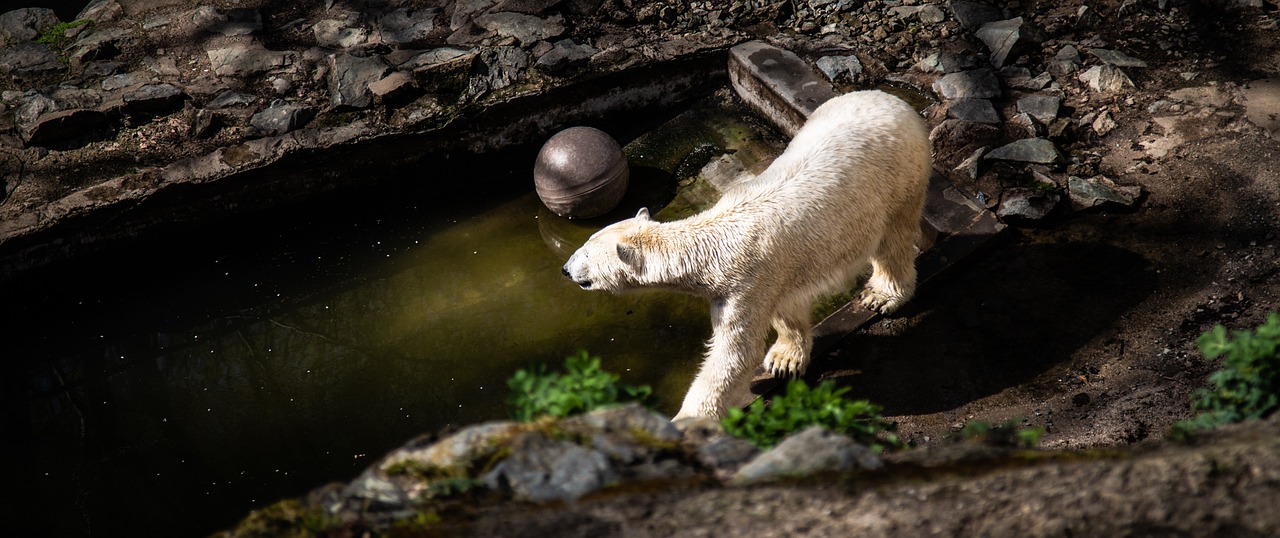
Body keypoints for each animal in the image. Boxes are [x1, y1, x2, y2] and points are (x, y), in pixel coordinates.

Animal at [560, 90, 931, 420]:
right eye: (586, 244)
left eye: (587, 254)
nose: (565, 269)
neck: (715, 243)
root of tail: (893, 101)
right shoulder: (776, 275)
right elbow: (786, 309)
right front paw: (785, 359)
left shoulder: (747, 283)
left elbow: (735, 353)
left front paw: (688, 420)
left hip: (899, 176)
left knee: (893, 240)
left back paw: (882, 295)